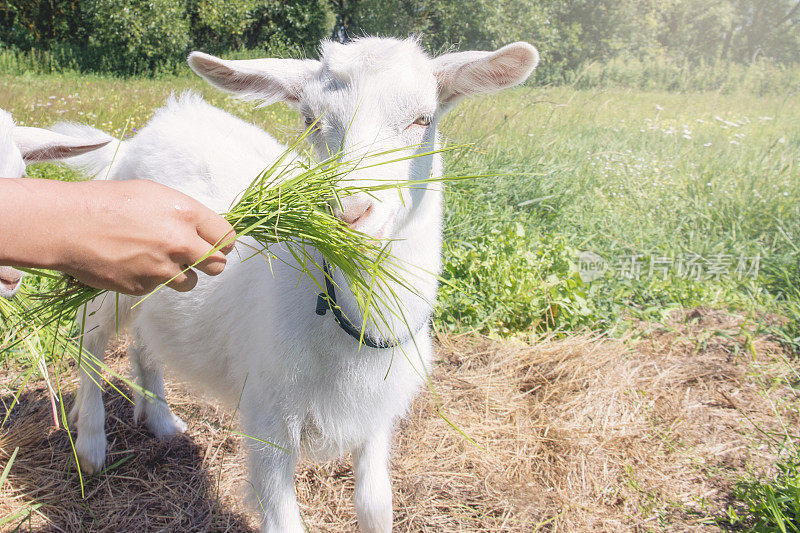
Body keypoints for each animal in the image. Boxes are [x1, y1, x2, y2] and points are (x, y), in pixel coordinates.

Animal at [62, 38, 536, 532]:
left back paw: (160, 419)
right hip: (114, 272)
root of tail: (136, 139)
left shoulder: (375, 414)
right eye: (310, 120)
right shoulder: (267, 416)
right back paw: (90, 444)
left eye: (423, 118)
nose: (347, 211)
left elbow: (375, 503)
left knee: (144, 341)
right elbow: (284, 519)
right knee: (90, 335)